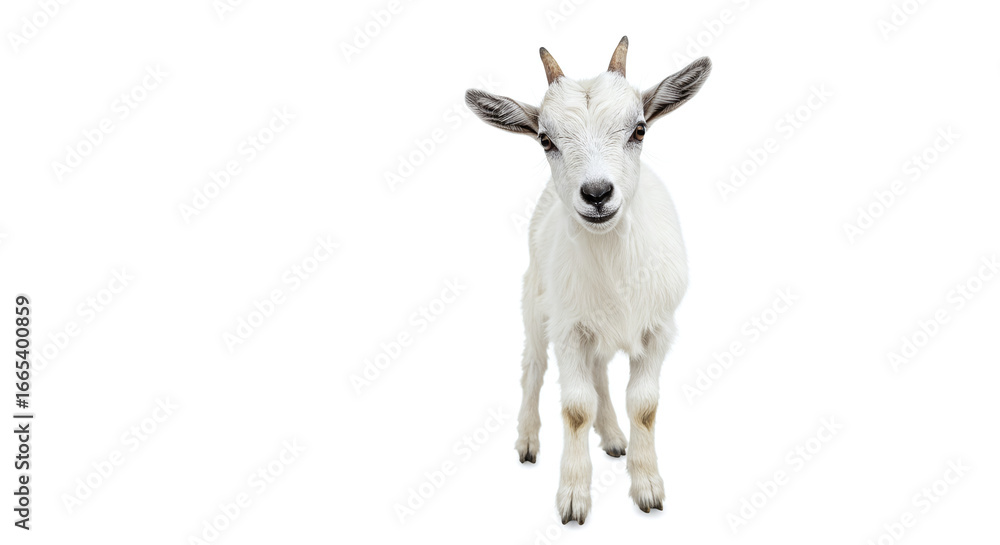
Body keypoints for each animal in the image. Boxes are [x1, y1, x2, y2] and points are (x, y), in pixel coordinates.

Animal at [465, 37, 711, 524]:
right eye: (545, 139)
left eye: (639, 129)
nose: (597, 194)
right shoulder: (569, 329)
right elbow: (576, 408)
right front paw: (574, 498)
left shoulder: (657, 329)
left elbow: (644, 405)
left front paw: (647, 488)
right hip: (535, 302)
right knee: (533, 367)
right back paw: (527, 441)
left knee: (598, 374)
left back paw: (614, 438)